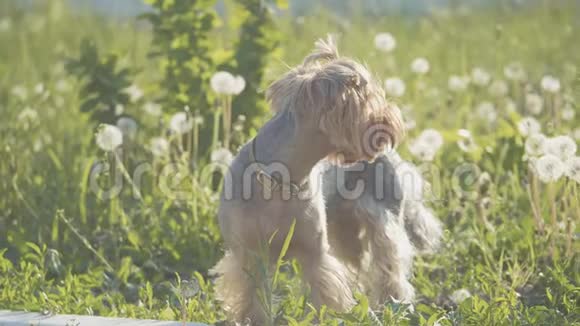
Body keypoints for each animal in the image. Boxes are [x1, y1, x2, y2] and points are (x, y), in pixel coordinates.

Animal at [211, 37, 406, 324]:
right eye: (371, 101)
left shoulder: (315, 253)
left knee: (389, 261)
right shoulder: (249, 252)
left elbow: (323, 291)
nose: (394, 119)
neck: (280, 181)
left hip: (381, 214)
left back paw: (393, 304)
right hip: (343, 229)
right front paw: (253, 318)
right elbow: (252, 295)